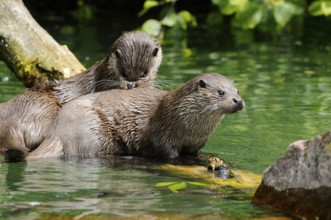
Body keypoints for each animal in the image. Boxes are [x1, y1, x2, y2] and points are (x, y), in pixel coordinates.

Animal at [27, 73, 245, 160]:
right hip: (90, 131)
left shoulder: (196, 144)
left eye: (237, 91)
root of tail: (56, 131)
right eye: (221, 92)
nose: (238, 101)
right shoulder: (161, 135)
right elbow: (166, 153)